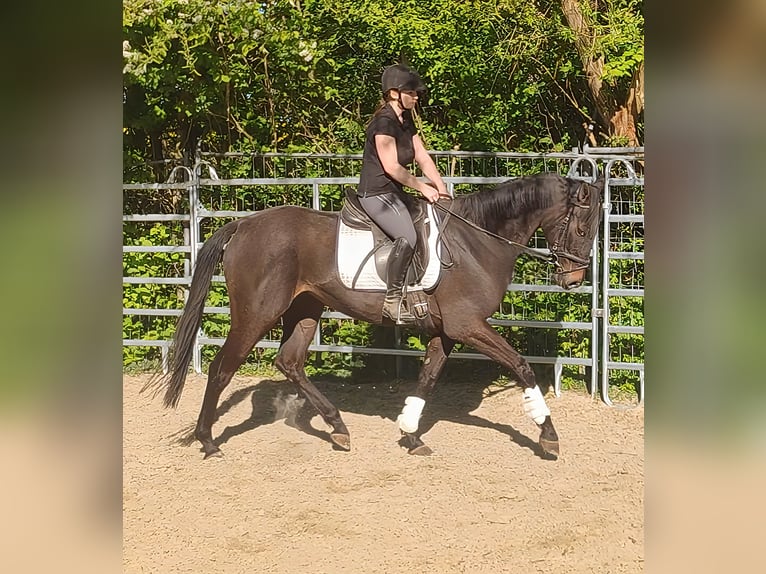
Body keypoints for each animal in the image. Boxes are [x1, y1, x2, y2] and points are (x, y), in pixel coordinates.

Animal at [145, 172, 604, 459]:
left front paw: (411, 434)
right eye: (584, 229)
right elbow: (522, 366)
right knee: (223, 368)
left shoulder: (447, 331)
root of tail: (243, 225)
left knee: (289, 362)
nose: (574, 279)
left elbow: (428, 378)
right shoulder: (468, 326)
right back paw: (208, 441)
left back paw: (338, 428)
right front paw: (549, 437)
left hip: (305, 309)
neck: (477, 242)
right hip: (256, 314)